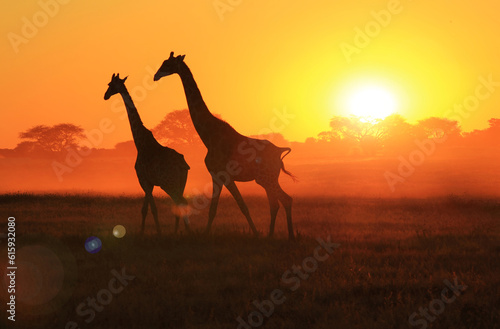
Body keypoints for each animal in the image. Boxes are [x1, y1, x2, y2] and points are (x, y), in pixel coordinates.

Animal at [103, 73, 191, 234]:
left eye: (110, 85)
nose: (105, 96)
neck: (141, 143)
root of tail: (182, 165)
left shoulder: (143, 180)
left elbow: (153, 209)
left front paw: (159, 233)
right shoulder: (148, 182)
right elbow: (144, 209)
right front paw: (142, 233)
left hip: (168, 183)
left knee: (180, 201)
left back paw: (188, 232)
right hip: (181, 181)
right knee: (180, 203)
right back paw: (179, 232)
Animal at [153, 52, 296, 240]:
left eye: (168, 64)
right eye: (163, 62)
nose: (156, 76)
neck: (208, 136)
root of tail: (279, 152)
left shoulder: (223, 175)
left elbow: (241, 206)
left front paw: (254, 234)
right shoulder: (216, 175)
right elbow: (215, 209)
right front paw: (206, 234)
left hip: (267, 178)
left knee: (284, 200)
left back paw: (289, 236)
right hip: (266, 179)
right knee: (278, 202)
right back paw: (273, 235)